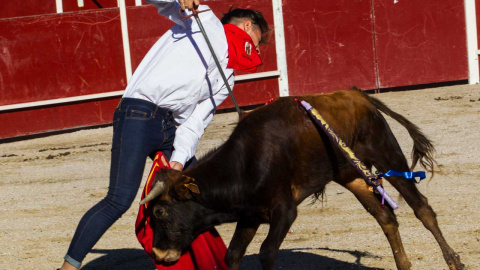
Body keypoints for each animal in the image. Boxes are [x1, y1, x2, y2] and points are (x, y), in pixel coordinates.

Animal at [141, 90, 464, 270]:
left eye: (160, 212)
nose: (158, 253)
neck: (245, 163)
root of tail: (357, 94)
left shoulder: (284, 211)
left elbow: (267, 253)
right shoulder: (251, 215)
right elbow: (232, 256)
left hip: (387, 153)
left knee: (422, 209)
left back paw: (453, 261)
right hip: (353, 176)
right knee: (386, 218)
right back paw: (403, 264)